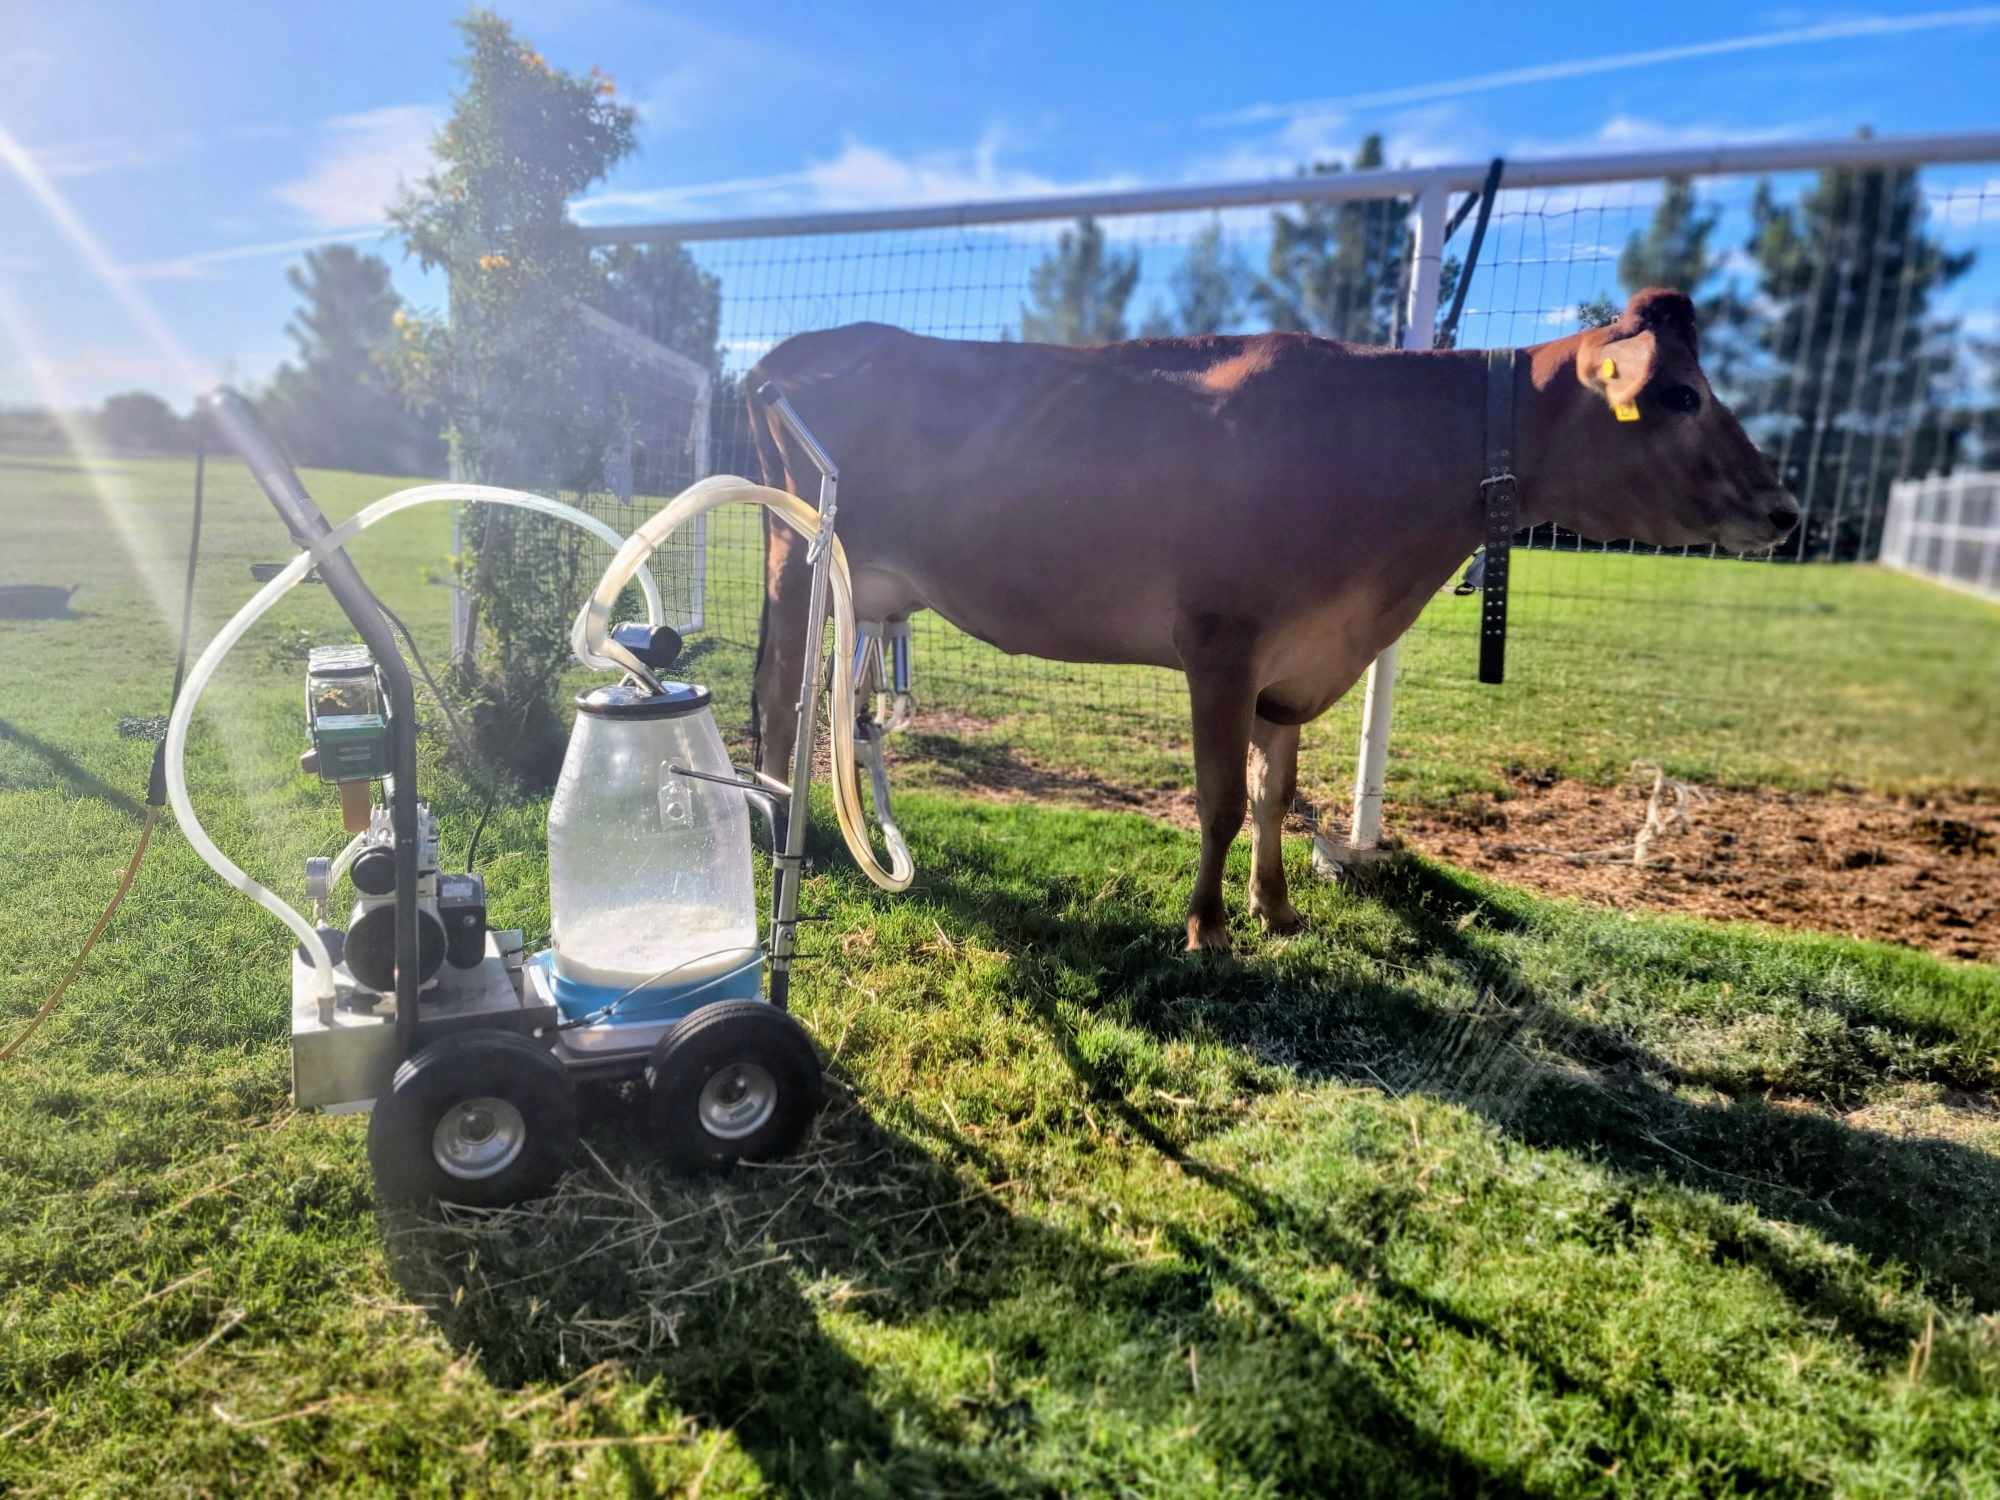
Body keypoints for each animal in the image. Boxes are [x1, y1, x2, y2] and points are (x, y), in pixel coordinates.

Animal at [746, 288, 1798, 952]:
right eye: (1682, 394)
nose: (1785, 509)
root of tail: (795, 350)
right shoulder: (1222, 643)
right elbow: (1217, 797)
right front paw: (1208, 926)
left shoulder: (1292, 664)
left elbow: (1273, 793)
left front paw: (1279, 909)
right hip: (801, 557)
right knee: (780, 689)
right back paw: (778, 822)